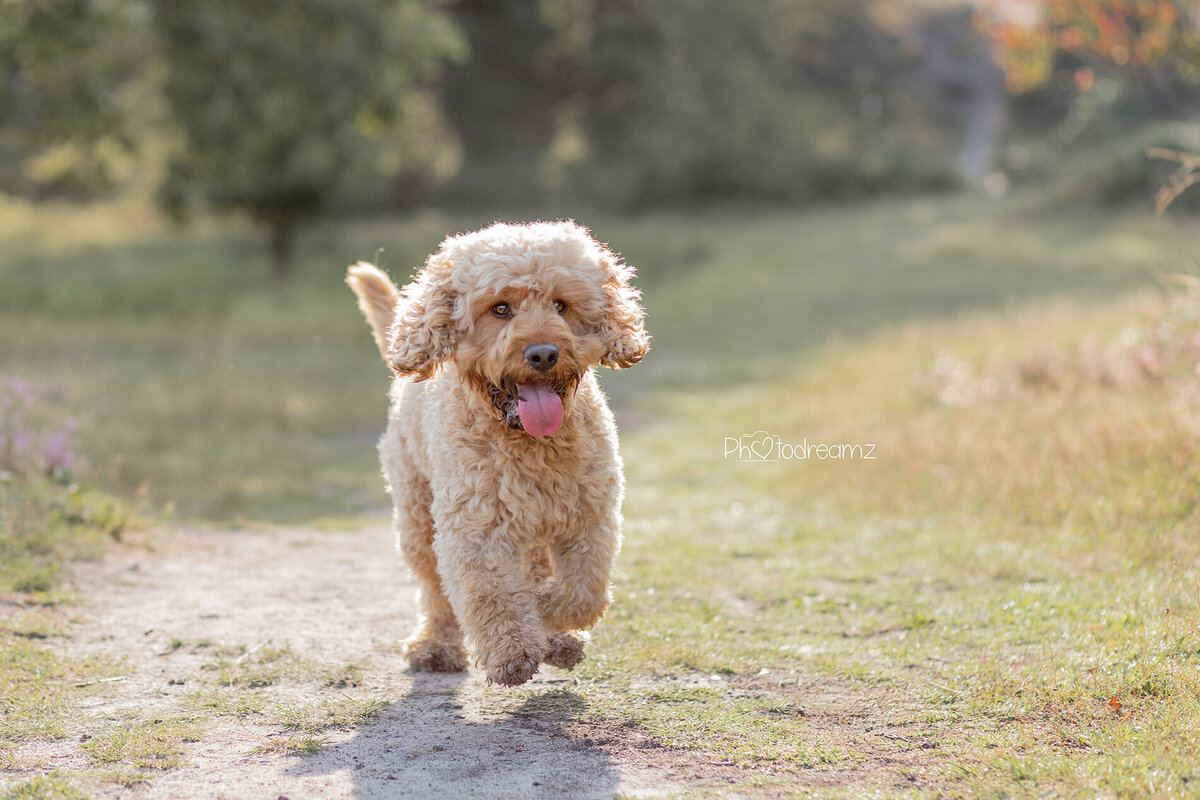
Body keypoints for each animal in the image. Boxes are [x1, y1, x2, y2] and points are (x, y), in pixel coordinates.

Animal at [348, 219, 648, 690]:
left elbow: (584, 593)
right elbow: (492, 595)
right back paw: (436, 646)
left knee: (536, 567)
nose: (543, 353)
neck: (528, 443)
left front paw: (550, 618)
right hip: (417, 516)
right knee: (435, 588)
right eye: (500, 308)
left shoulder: (591, 519)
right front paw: (515, 652)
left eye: (561, 304)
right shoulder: (475, 529)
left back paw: (559, 637)